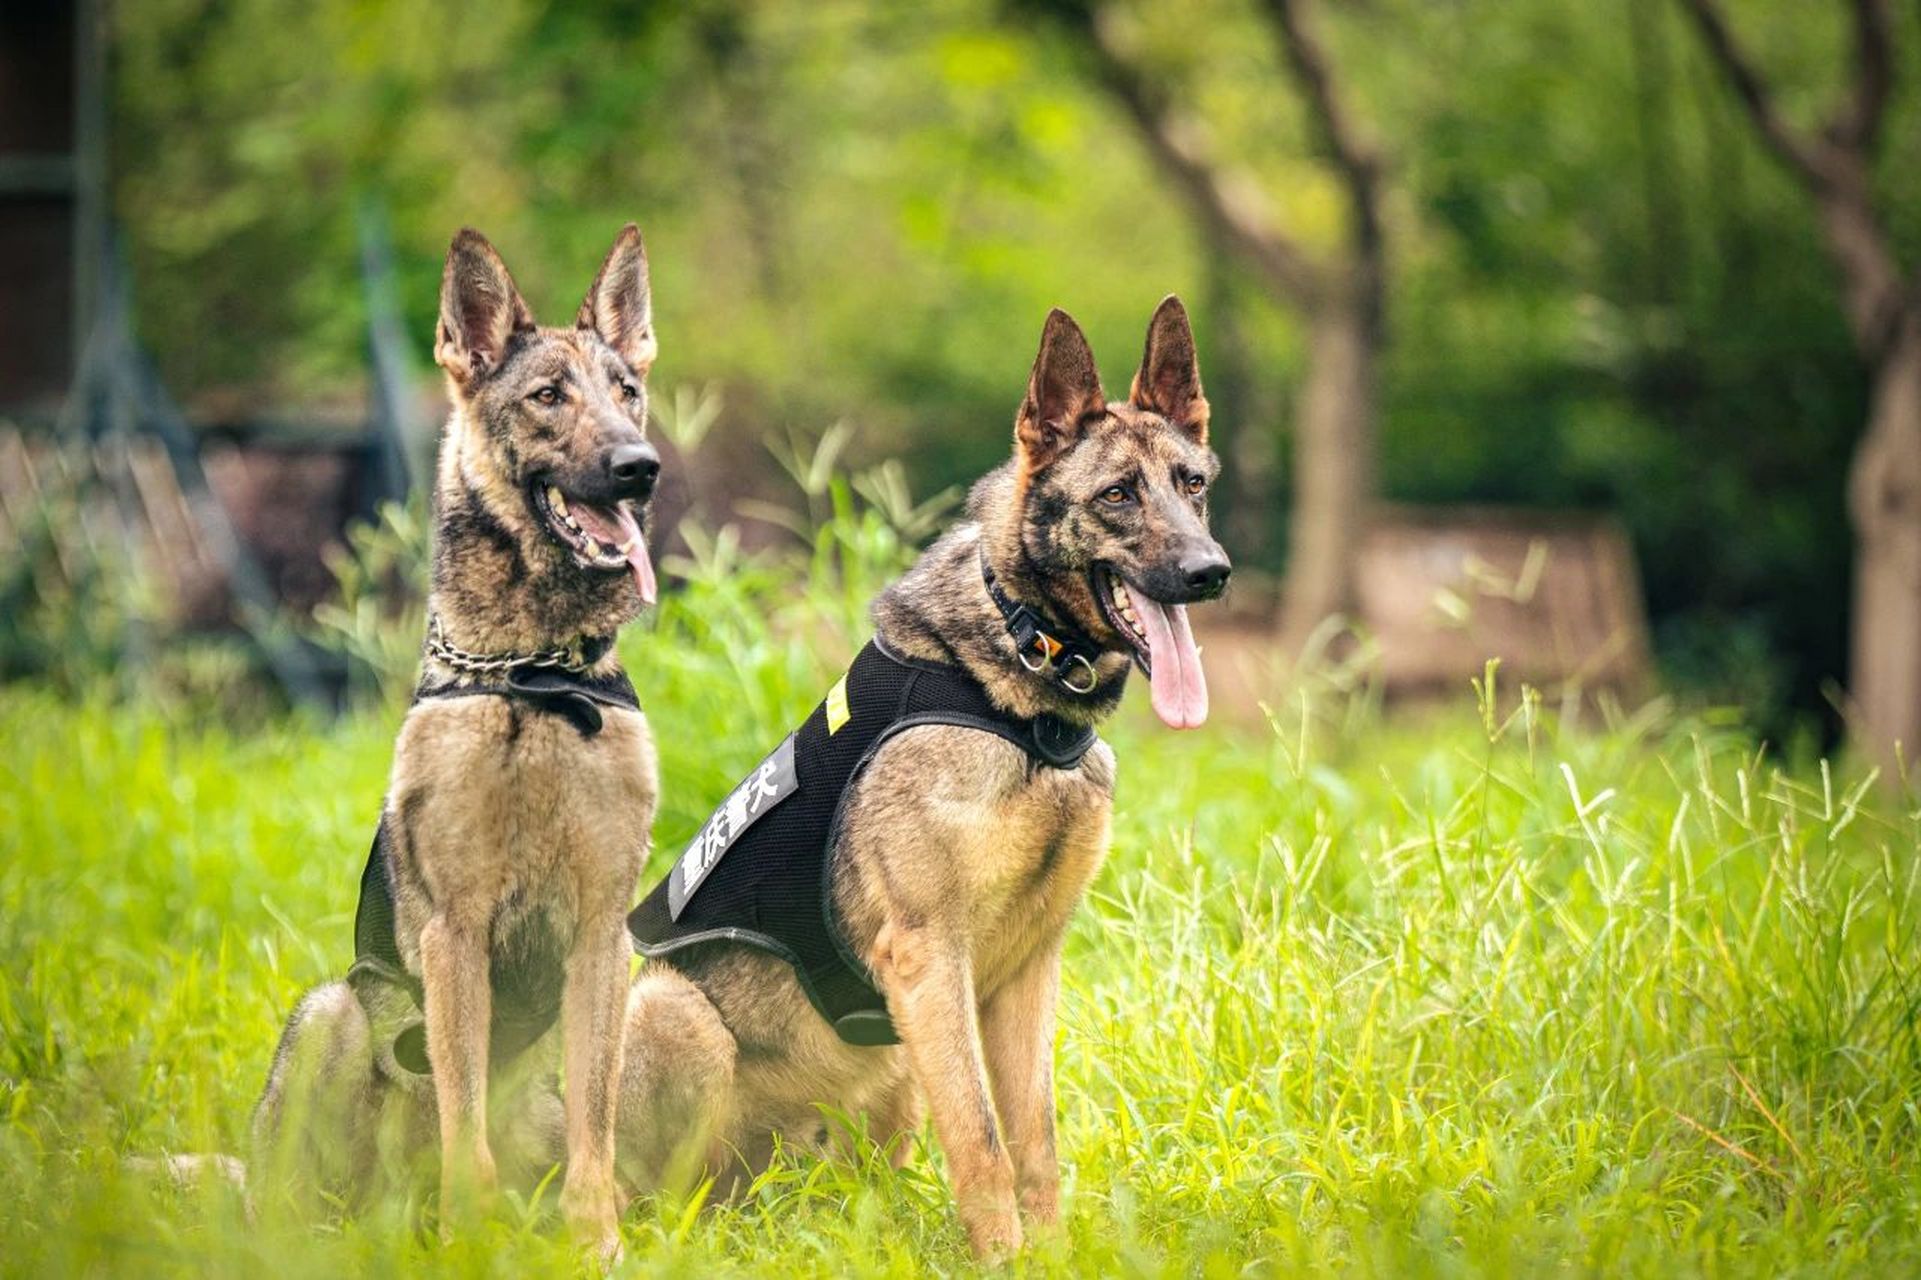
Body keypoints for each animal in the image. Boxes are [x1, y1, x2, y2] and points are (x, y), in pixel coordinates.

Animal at [243, 221, 664, 1253]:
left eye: (627, 391)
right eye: (549, 396)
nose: (640, 466)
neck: (533, 676)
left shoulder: (600, 938)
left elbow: (594, 1118)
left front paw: (595, 1241)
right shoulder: (456, 933)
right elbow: (459, 1109)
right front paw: (473, 1241)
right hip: (333, 1014)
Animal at [614, 292, 1229, 1253]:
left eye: (1191, 484)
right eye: (1117, 495)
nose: (1210, 573)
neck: (1023, 696)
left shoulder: (1027, 973)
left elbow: (1035, 1140)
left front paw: (1050, 1257)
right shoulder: (930, 960)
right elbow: (981, 1142)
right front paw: (1004, 1261)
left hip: (892, 1072)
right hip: (676, 1017)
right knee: (664, 1207)